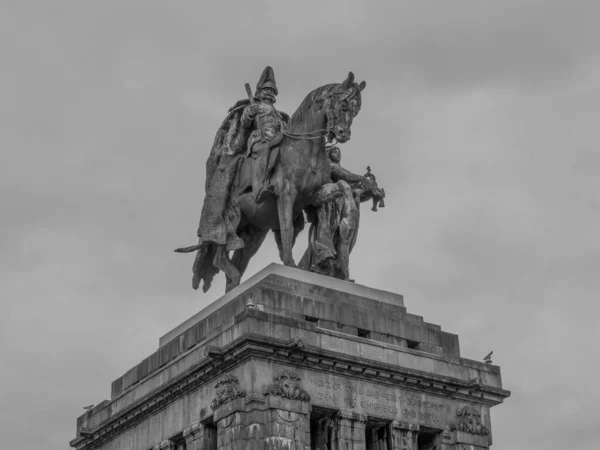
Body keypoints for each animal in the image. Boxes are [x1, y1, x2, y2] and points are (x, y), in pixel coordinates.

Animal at [192, 72, 366, 294]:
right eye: (343, 105)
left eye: (355, 110)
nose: (344, 134)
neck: (306, 150)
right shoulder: (286, 194)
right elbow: (286, 228)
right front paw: (290, 264)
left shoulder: (316, 195)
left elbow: (344, 187)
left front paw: (346, 228)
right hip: (231, 221)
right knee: (219, 256)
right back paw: (235, 276)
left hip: (253, 233)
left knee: (238, 259)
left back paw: (234, 285)